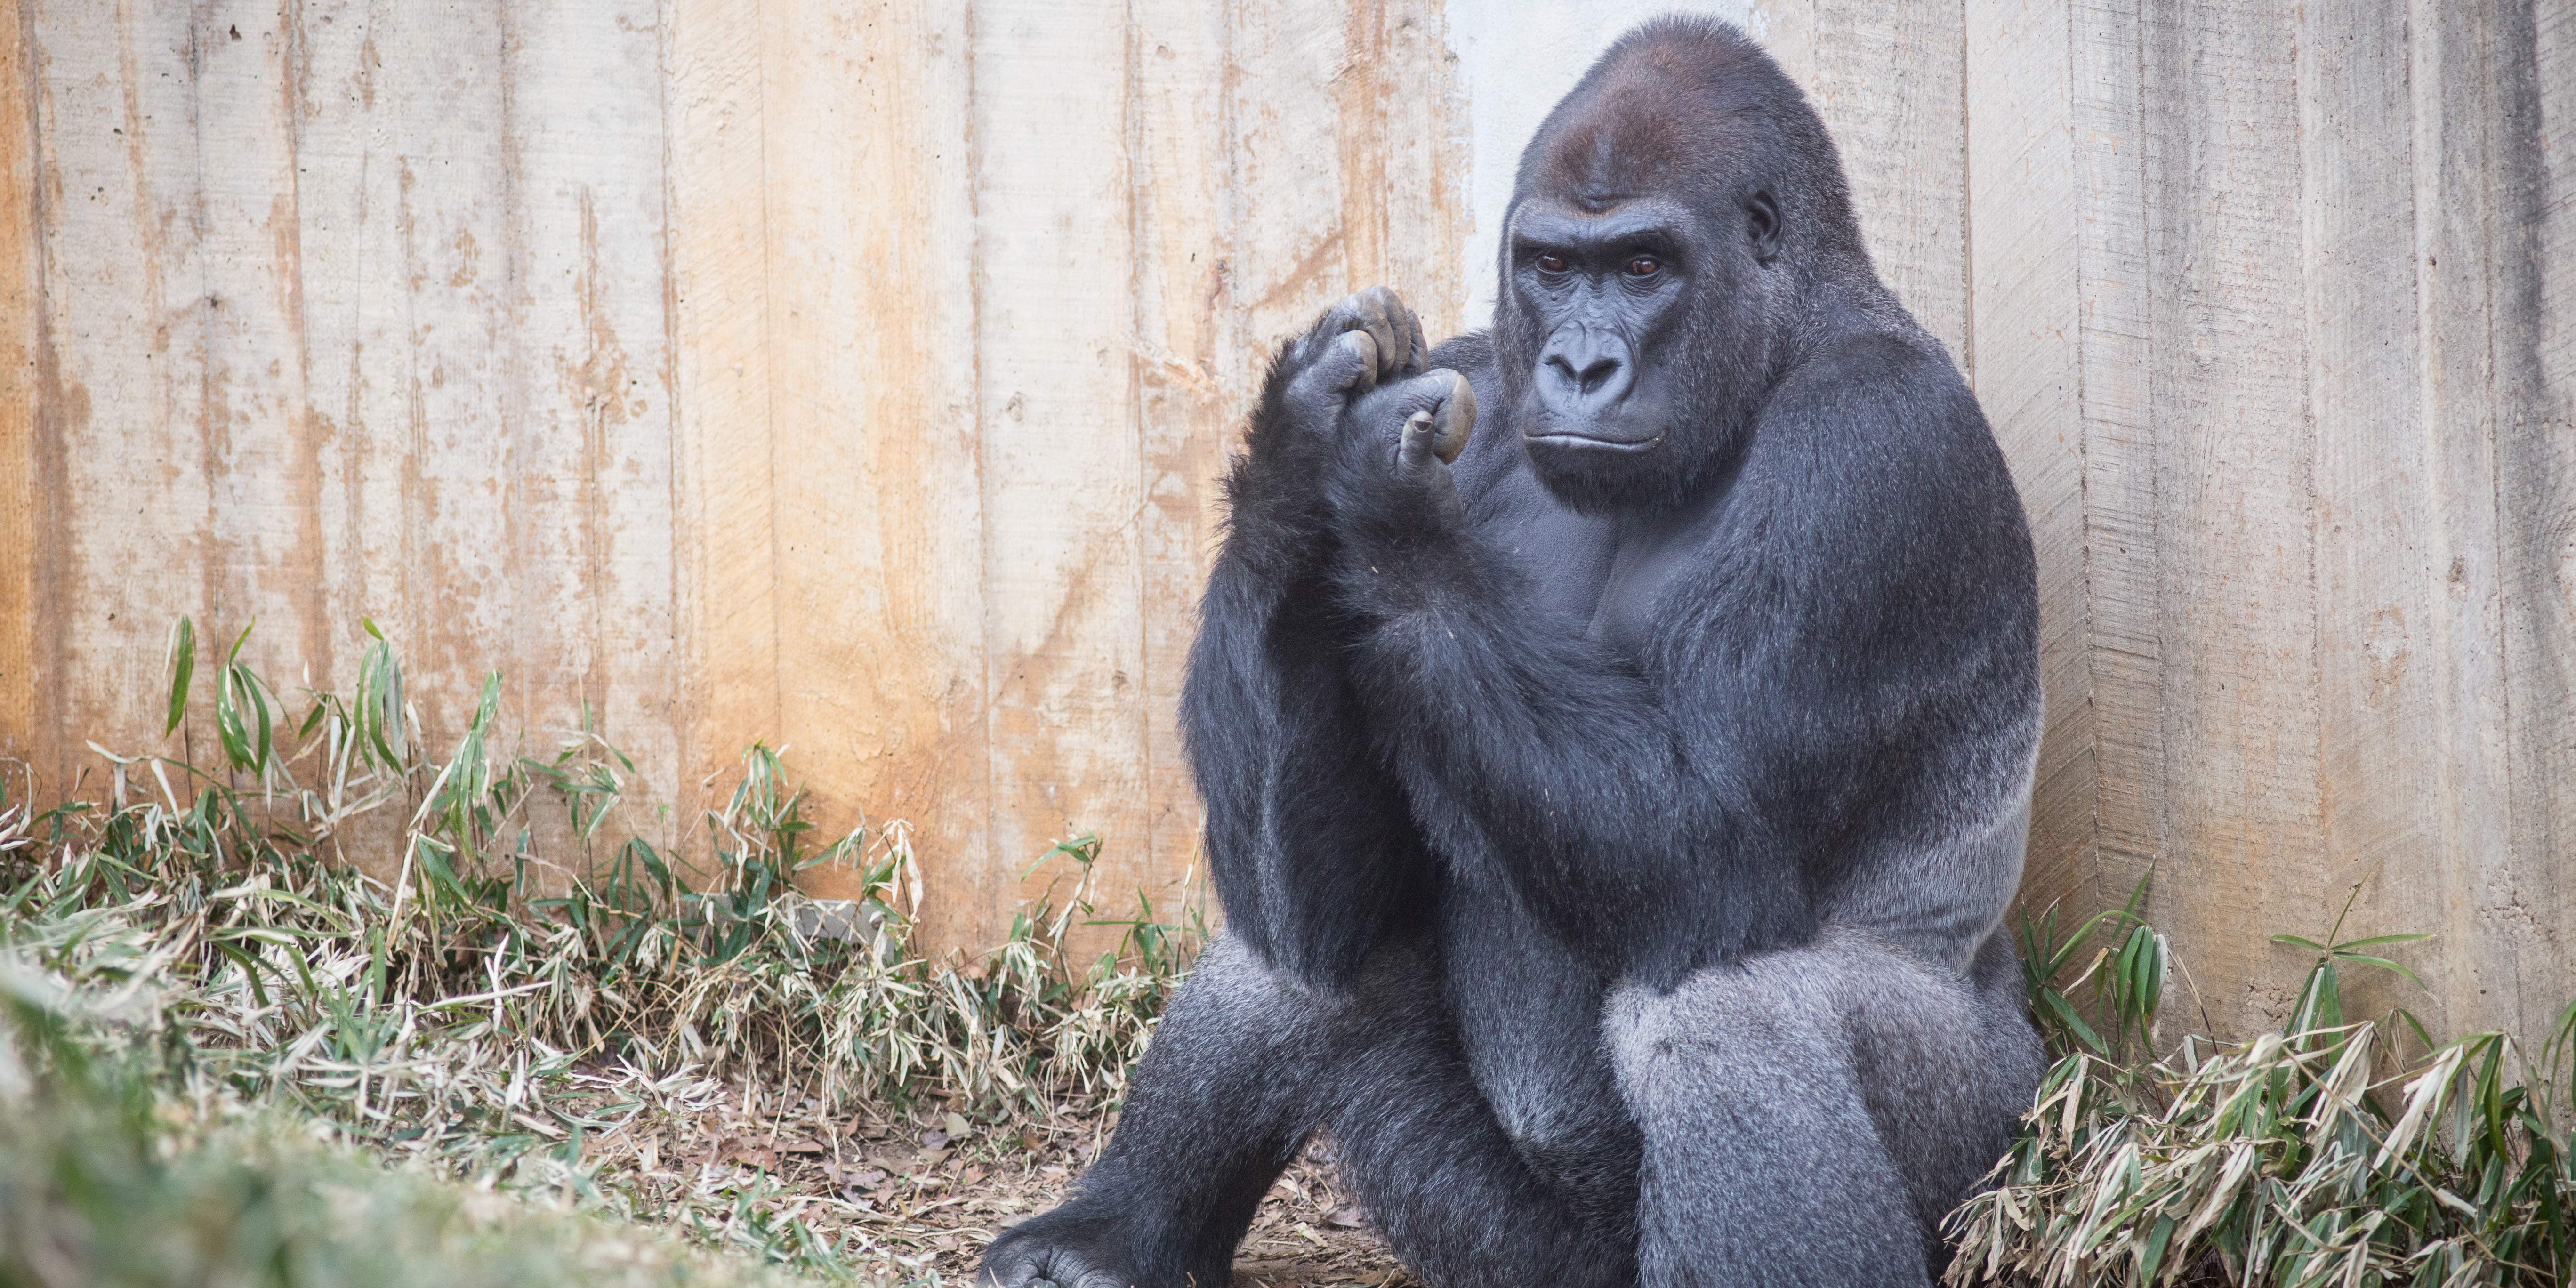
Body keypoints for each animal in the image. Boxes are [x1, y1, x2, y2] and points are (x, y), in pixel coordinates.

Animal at [974, 17, 2040, 1288]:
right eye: (1551, 267)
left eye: (1644, 267)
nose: (1579, 367)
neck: (1778, 344)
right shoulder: (1486, 359)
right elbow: (1328, 899)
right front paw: (1297, 450)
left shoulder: (1873, 451)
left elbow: (1710, 834)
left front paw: (1376, 488)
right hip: (1494, 1239)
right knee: (1293, 929)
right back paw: (1108, 1237)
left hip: (1986, 1150)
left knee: (1726, 1011)